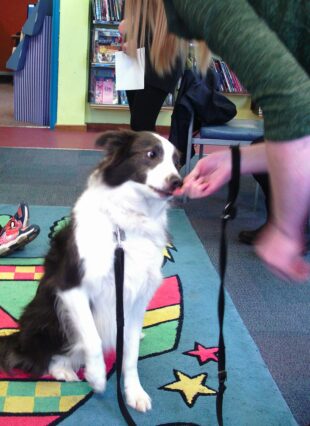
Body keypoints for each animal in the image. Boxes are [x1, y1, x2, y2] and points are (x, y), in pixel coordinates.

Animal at [0, 130, 182, 412]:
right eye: (151, 154)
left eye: (177, 162)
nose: (178, 182)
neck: (124, 227)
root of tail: (18, 338)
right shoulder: (71, 288)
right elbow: (93, 340)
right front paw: (96, 376)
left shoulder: (137, 299)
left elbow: (130, 355)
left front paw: (134, 392)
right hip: (51, 317)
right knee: (49, 357)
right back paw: (65, 370)